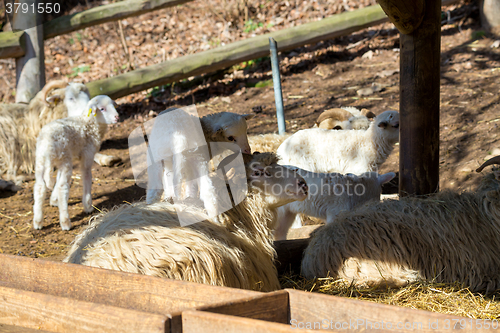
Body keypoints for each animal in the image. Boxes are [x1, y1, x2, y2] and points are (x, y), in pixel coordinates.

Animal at [33, 94, 119, 230]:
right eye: (102, 109)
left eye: (113, 105)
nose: (117, 117)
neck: (89, 124)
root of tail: (48, 144)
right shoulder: (87, 155)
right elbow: (87, 177)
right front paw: (88, 206)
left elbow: (57, 178)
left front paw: (53, 200)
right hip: (64, 159)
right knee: (63, 187)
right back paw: (65, 222)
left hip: (42, 161)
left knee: (40, 187)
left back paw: (38, 221)